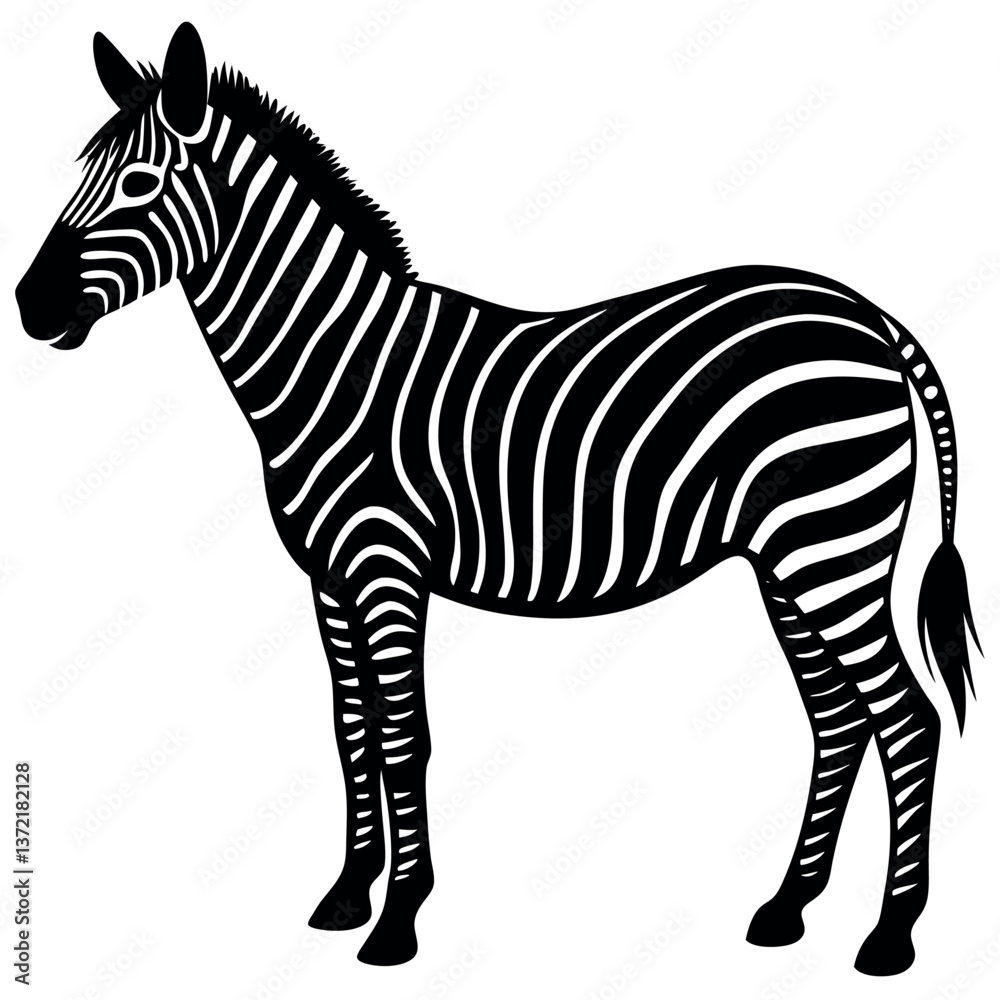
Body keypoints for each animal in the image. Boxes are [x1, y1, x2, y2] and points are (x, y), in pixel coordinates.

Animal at [15, 22, 980, 975]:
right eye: (80, 172)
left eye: (139, 184)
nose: (28, 304)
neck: (332, 366)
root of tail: (869, 315)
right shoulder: (329, 579)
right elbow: (351, 729)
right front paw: (348, 895)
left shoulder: (386, 568)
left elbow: (405, 735)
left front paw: (398, 920)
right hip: (790, 560)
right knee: (838, 719)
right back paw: (787, 909)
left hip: (830, 549)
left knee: (908, 718)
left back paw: (889, 936)